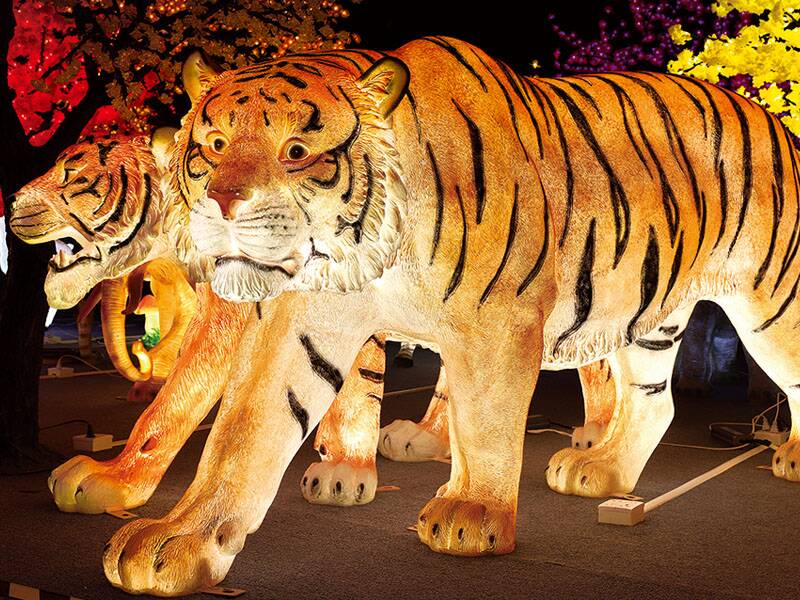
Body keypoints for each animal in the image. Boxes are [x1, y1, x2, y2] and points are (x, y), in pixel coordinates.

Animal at [93, 36, 800, 596]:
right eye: (213, 145)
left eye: (296, 150)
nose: (221, 206)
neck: (365, 249)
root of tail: (775, 121)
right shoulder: (302, 324)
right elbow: (243, 433)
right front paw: (178, 540)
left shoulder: (500, 321)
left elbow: (485, 422)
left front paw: (472, 514)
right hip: (650, 316)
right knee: (655, 403)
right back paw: (600, 471)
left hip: (773, 303)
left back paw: (787, 457)